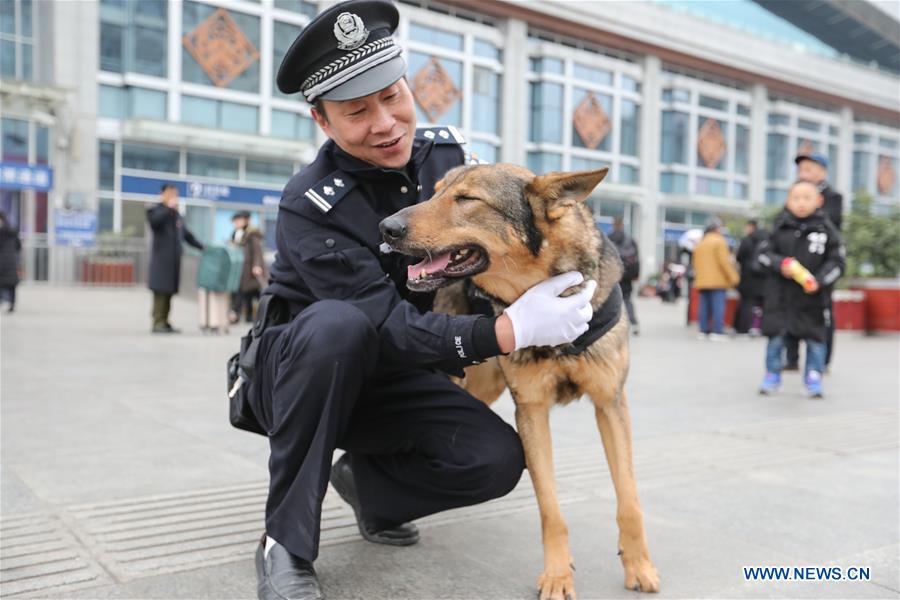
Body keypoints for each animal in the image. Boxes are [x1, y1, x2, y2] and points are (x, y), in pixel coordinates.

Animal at [380, 165, 660, 600]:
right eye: (435, 192)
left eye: (467, 199)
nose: (386, 228)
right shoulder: (531, 410)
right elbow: (550, 508)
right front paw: (558, 576)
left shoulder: (610, 403)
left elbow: (629, 498)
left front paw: (639, 565)